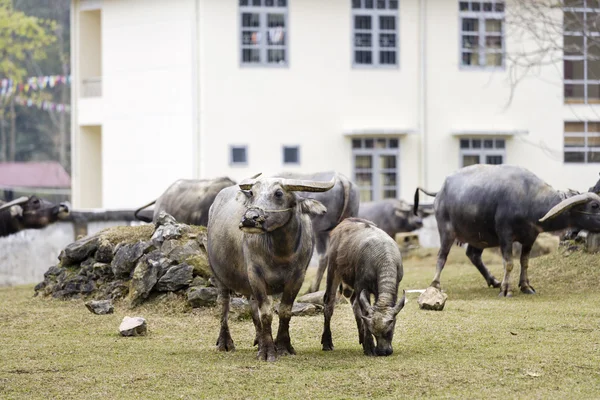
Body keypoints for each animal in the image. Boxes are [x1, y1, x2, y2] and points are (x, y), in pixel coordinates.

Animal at [207, 173, 336, 360]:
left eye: (278, 193)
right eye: (252, 193)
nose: (249, 218)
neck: (280, 252)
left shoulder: (297, 277)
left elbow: (285, 311)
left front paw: (283, 346)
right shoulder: (255, 275)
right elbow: (266, 313)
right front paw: (267, 351)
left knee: (252, 307)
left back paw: (258, 339)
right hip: (219, 275)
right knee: (224, 304)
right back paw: (225, 343)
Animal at [322, 217, 406, 354]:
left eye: (389, 331)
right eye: (374, 333)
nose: (383, 351)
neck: (383, 258)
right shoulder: (361, 286)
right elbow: (365, 313)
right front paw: (370, 347)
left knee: (354, 303)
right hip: (333, 270)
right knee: (329, 303)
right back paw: (327, 343)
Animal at [414, 163, 600, 296]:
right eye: (594, 205)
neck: (529, 198)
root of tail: (439, 192)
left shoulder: (530, 237)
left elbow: (525, 262)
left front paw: (525, 286)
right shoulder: (505, 235)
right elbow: (509, 263)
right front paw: (506, 289)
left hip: (479, 235)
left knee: (473, 255)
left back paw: (493, 281)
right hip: (446, 231)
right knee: (442, 256)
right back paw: (436, 284)